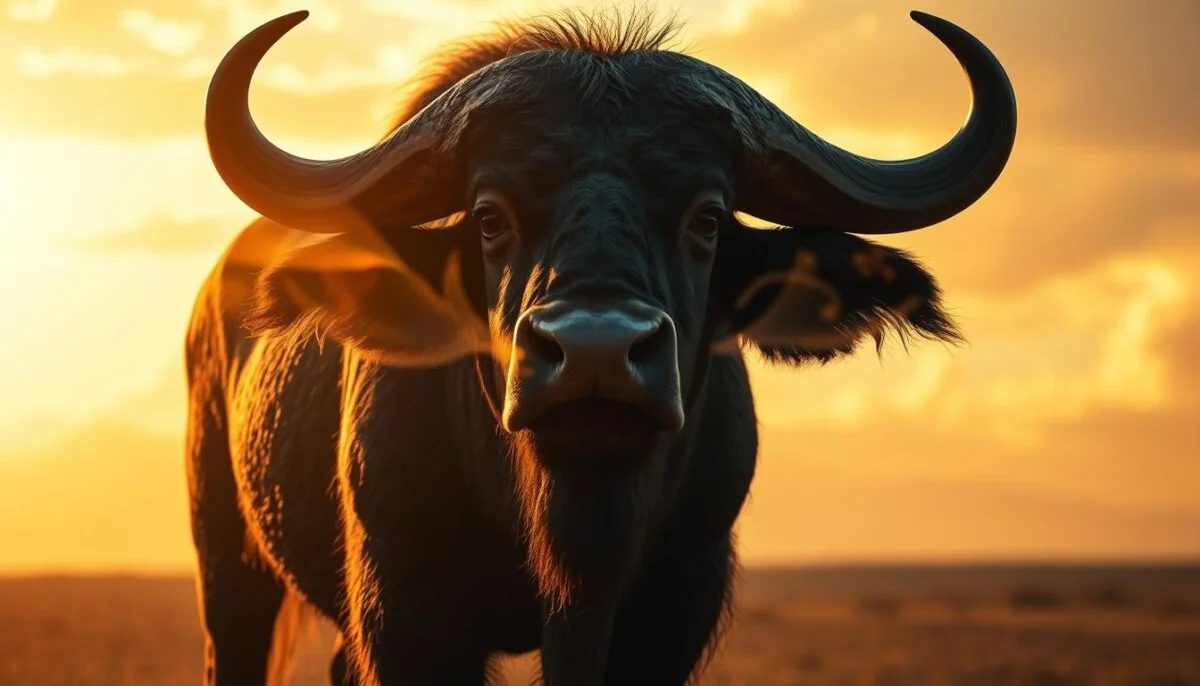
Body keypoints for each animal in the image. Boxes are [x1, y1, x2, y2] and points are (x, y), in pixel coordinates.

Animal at [186, 7, 1016, 685]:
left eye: (707, 217)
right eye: (489, 216)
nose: (594, 353)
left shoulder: (678, 601)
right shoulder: (405, 603)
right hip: (227, 558)